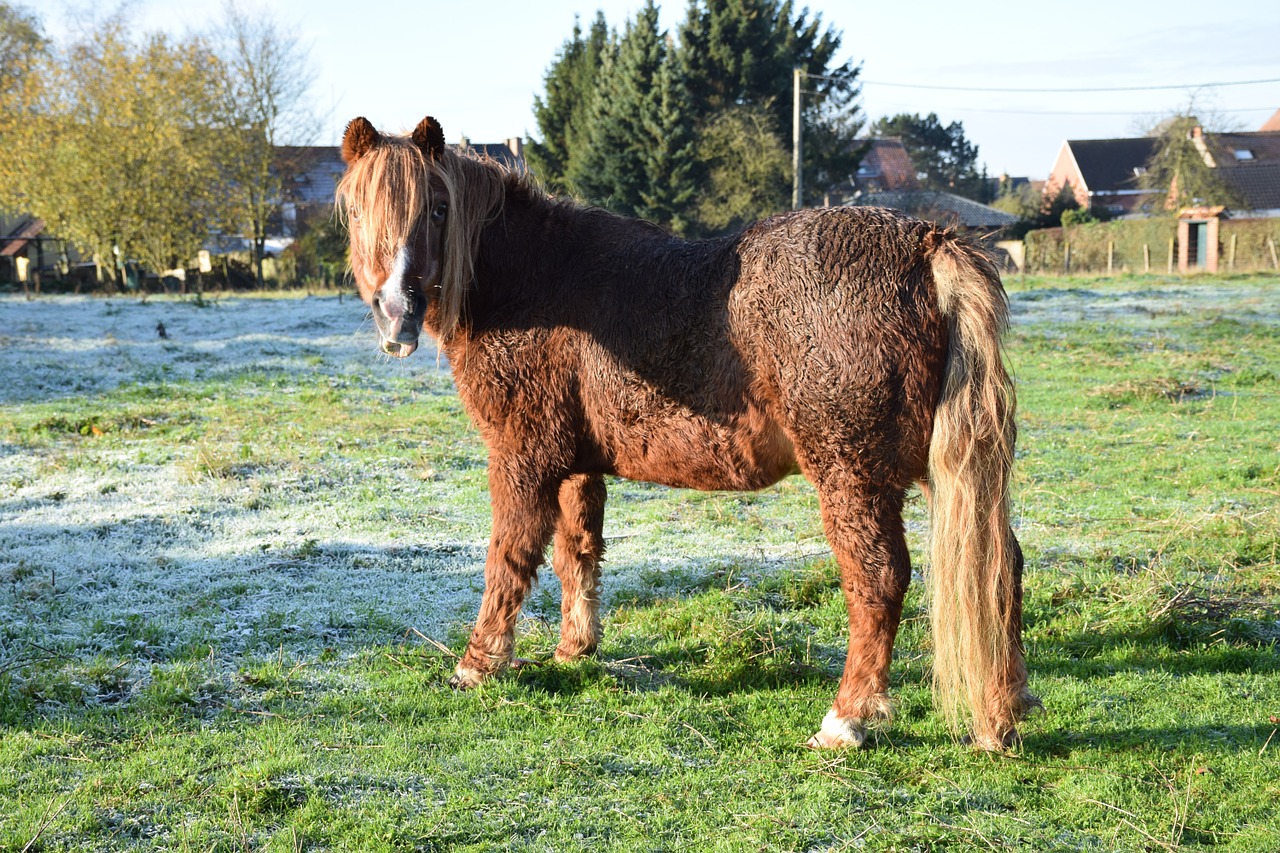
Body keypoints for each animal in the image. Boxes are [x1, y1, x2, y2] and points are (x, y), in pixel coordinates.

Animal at [335, 116, 1034, 747]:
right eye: (360, 212)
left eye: (437, 208)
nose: (396, 315)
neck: (537, 284)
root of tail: (926, 245)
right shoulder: (578, 464)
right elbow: (576, 554)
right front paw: (575, 650)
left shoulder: (522, 458)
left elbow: (507, 560)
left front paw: (477, 665)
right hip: (939, 472)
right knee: (998, 565)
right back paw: (1003, 712)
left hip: (853, 474)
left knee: (879, 581)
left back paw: (848, 719)